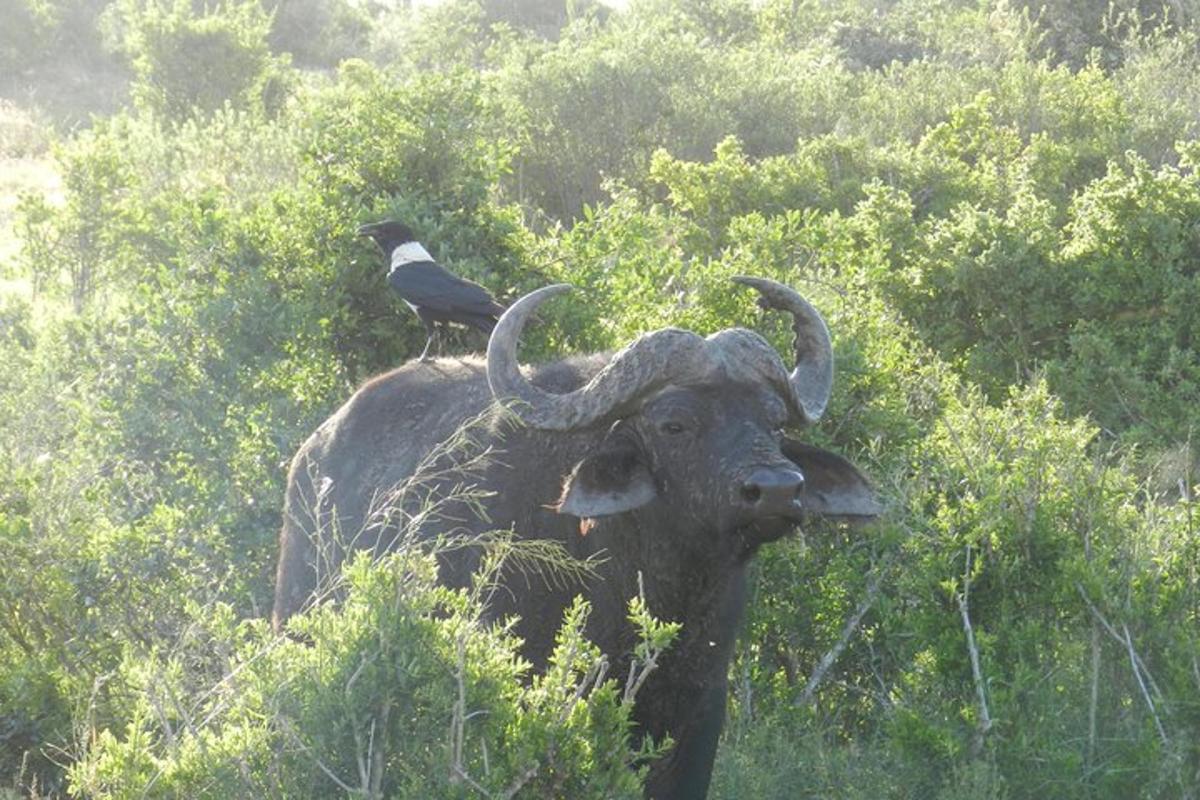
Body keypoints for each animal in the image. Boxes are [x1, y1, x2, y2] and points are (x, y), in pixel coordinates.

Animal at [276, 278, 888, 796]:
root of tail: (313, 454)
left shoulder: (699, 716)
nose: (780, 489)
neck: (648, 578)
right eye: (674, 424)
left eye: (773, 422)